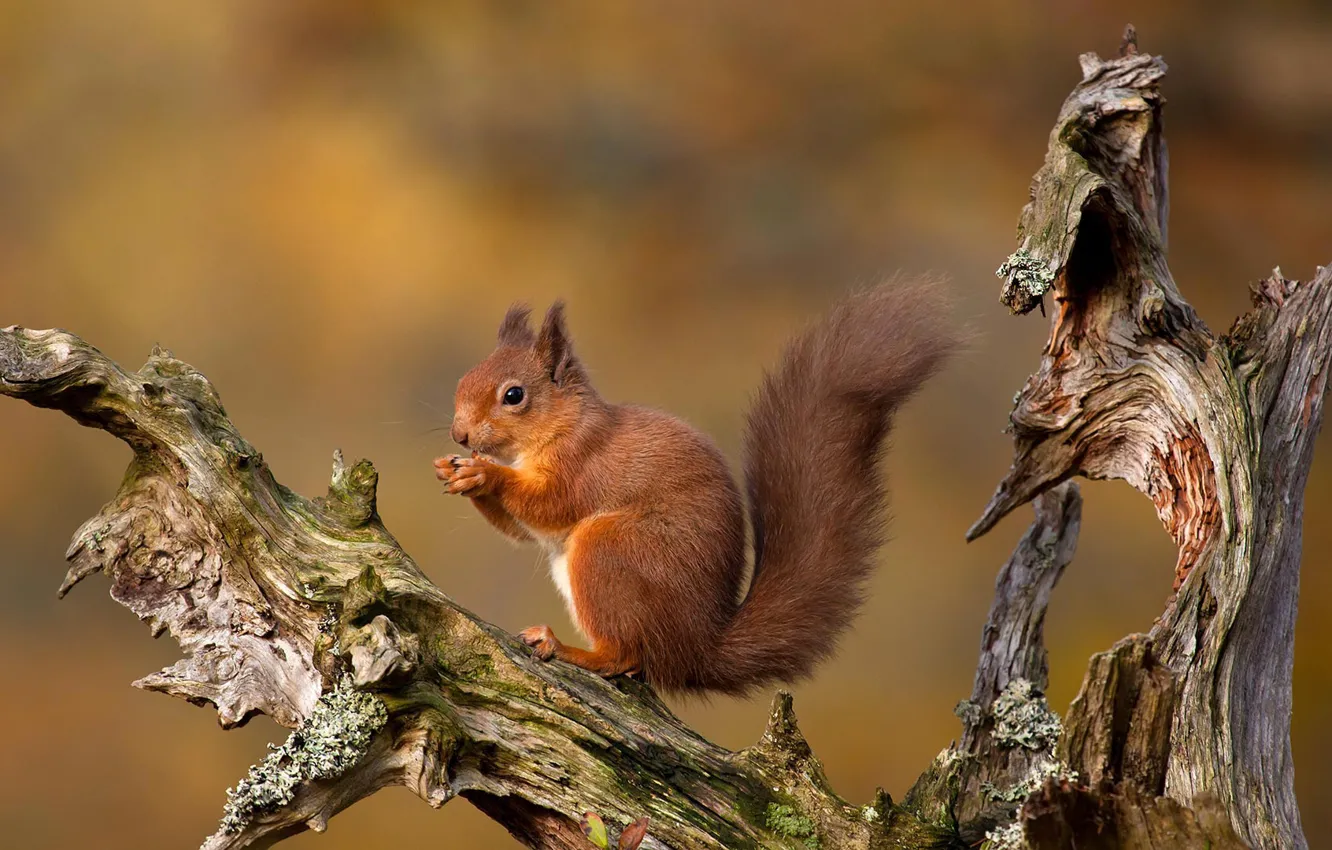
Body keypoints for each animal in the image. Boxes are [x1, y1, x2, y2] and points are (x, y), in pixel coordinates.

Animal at [434, 281, 955, 695]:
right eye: (462, 380)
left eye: (514, 395)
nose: (459, 435)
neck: (563, 426)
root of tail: (696, 649)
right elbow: (522, 531)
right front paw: (456, 471)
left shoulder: (584, 465)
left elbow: (550, 505)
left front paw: (485, 473)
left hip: (610, 549)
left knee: (626, 655)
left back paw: (568, 649)